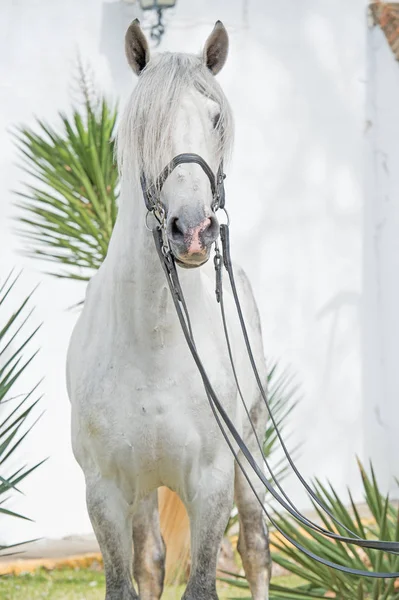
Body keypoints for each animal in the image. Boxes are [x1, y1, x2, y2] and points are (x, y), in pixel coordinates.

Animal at [67, 21, 272, 600]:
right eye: (144, 123)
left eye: (215, 117)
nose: (194, 230)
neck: (155, 344)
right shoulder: (106, 493)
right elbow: (131, 579)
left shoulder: (211, 484)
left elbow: (203, 581)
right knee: (153, 560)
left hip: (249, 453)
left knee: (255, 548)